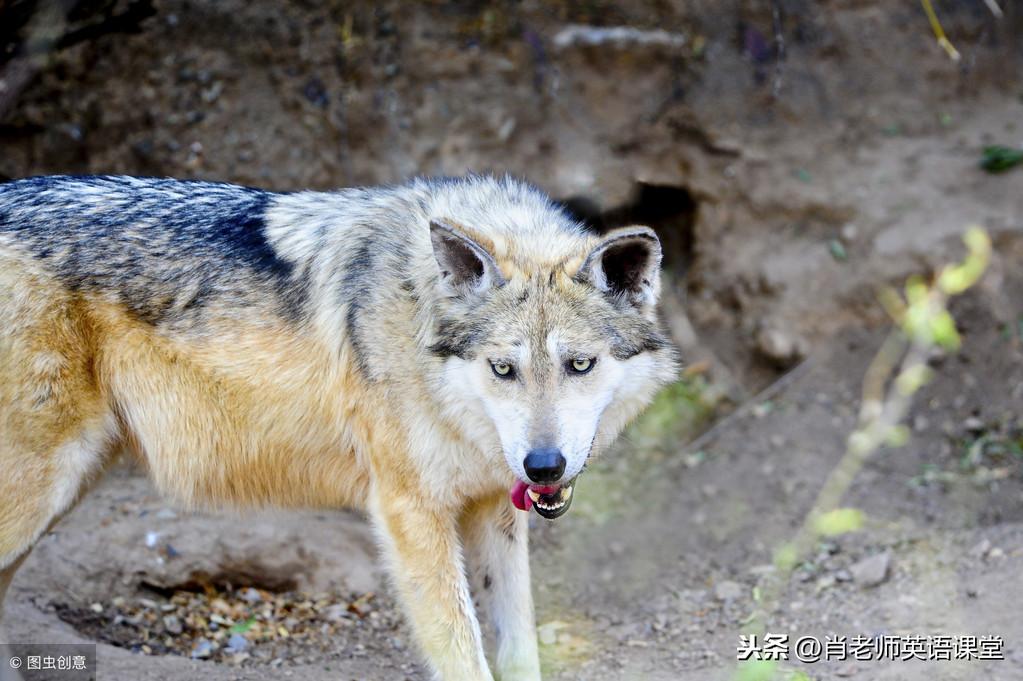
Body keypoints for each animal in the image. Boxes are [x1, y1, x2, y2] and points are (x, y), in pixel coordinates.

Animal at [1, 175, 679, 678]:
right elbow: (463, 654)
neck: (414, 312)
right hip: (39, 495)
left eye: (579, 364)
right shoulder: (410, 512)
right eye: (502, 368)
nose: (544, 466)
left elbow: (519, 649)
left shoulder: (493, 507)